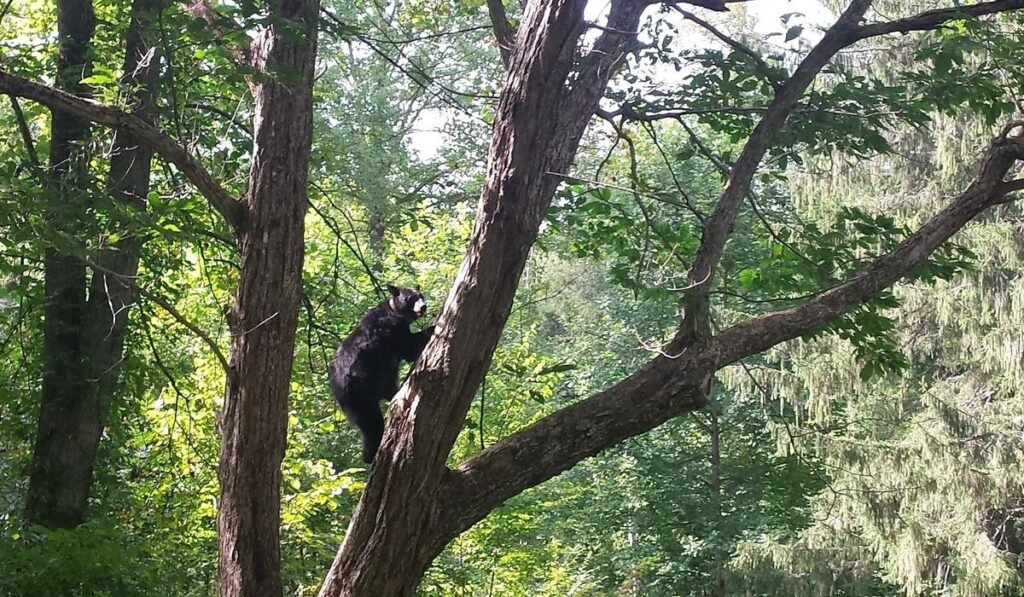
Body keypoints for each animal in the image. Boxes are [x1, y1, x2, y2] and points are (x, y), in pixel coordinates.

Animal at [329, 285, 434, 463]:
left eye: (421, 296)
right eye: (411, 298)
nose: (423, 307)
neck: (396, 311)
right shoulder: (394, 329)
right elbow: (409, 347)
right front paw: (431, 328)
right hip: (359, 391)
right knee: (371, 424)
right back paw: (370, 454)